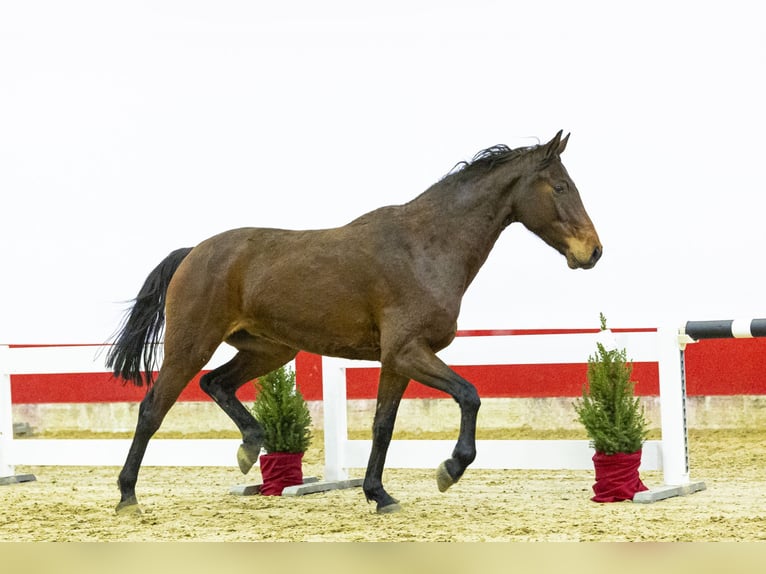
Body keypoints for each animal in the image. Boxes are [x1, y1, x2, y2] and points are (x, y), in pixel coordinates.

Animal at [106, 131, 602, 515]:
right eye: (560, 187)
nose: (593, 251)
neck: (425, 247)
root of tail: (193, 251)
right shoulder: (408, 351)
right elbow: (470, 395)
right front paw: (449, 469)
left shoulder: (397, 359)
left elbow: (384, 425)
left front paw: (379, 494)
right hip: (191, 346)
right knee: (153, 408)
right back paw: (128, 496)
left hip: (269, 348)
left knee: (217, 384)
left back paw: (250, 447)